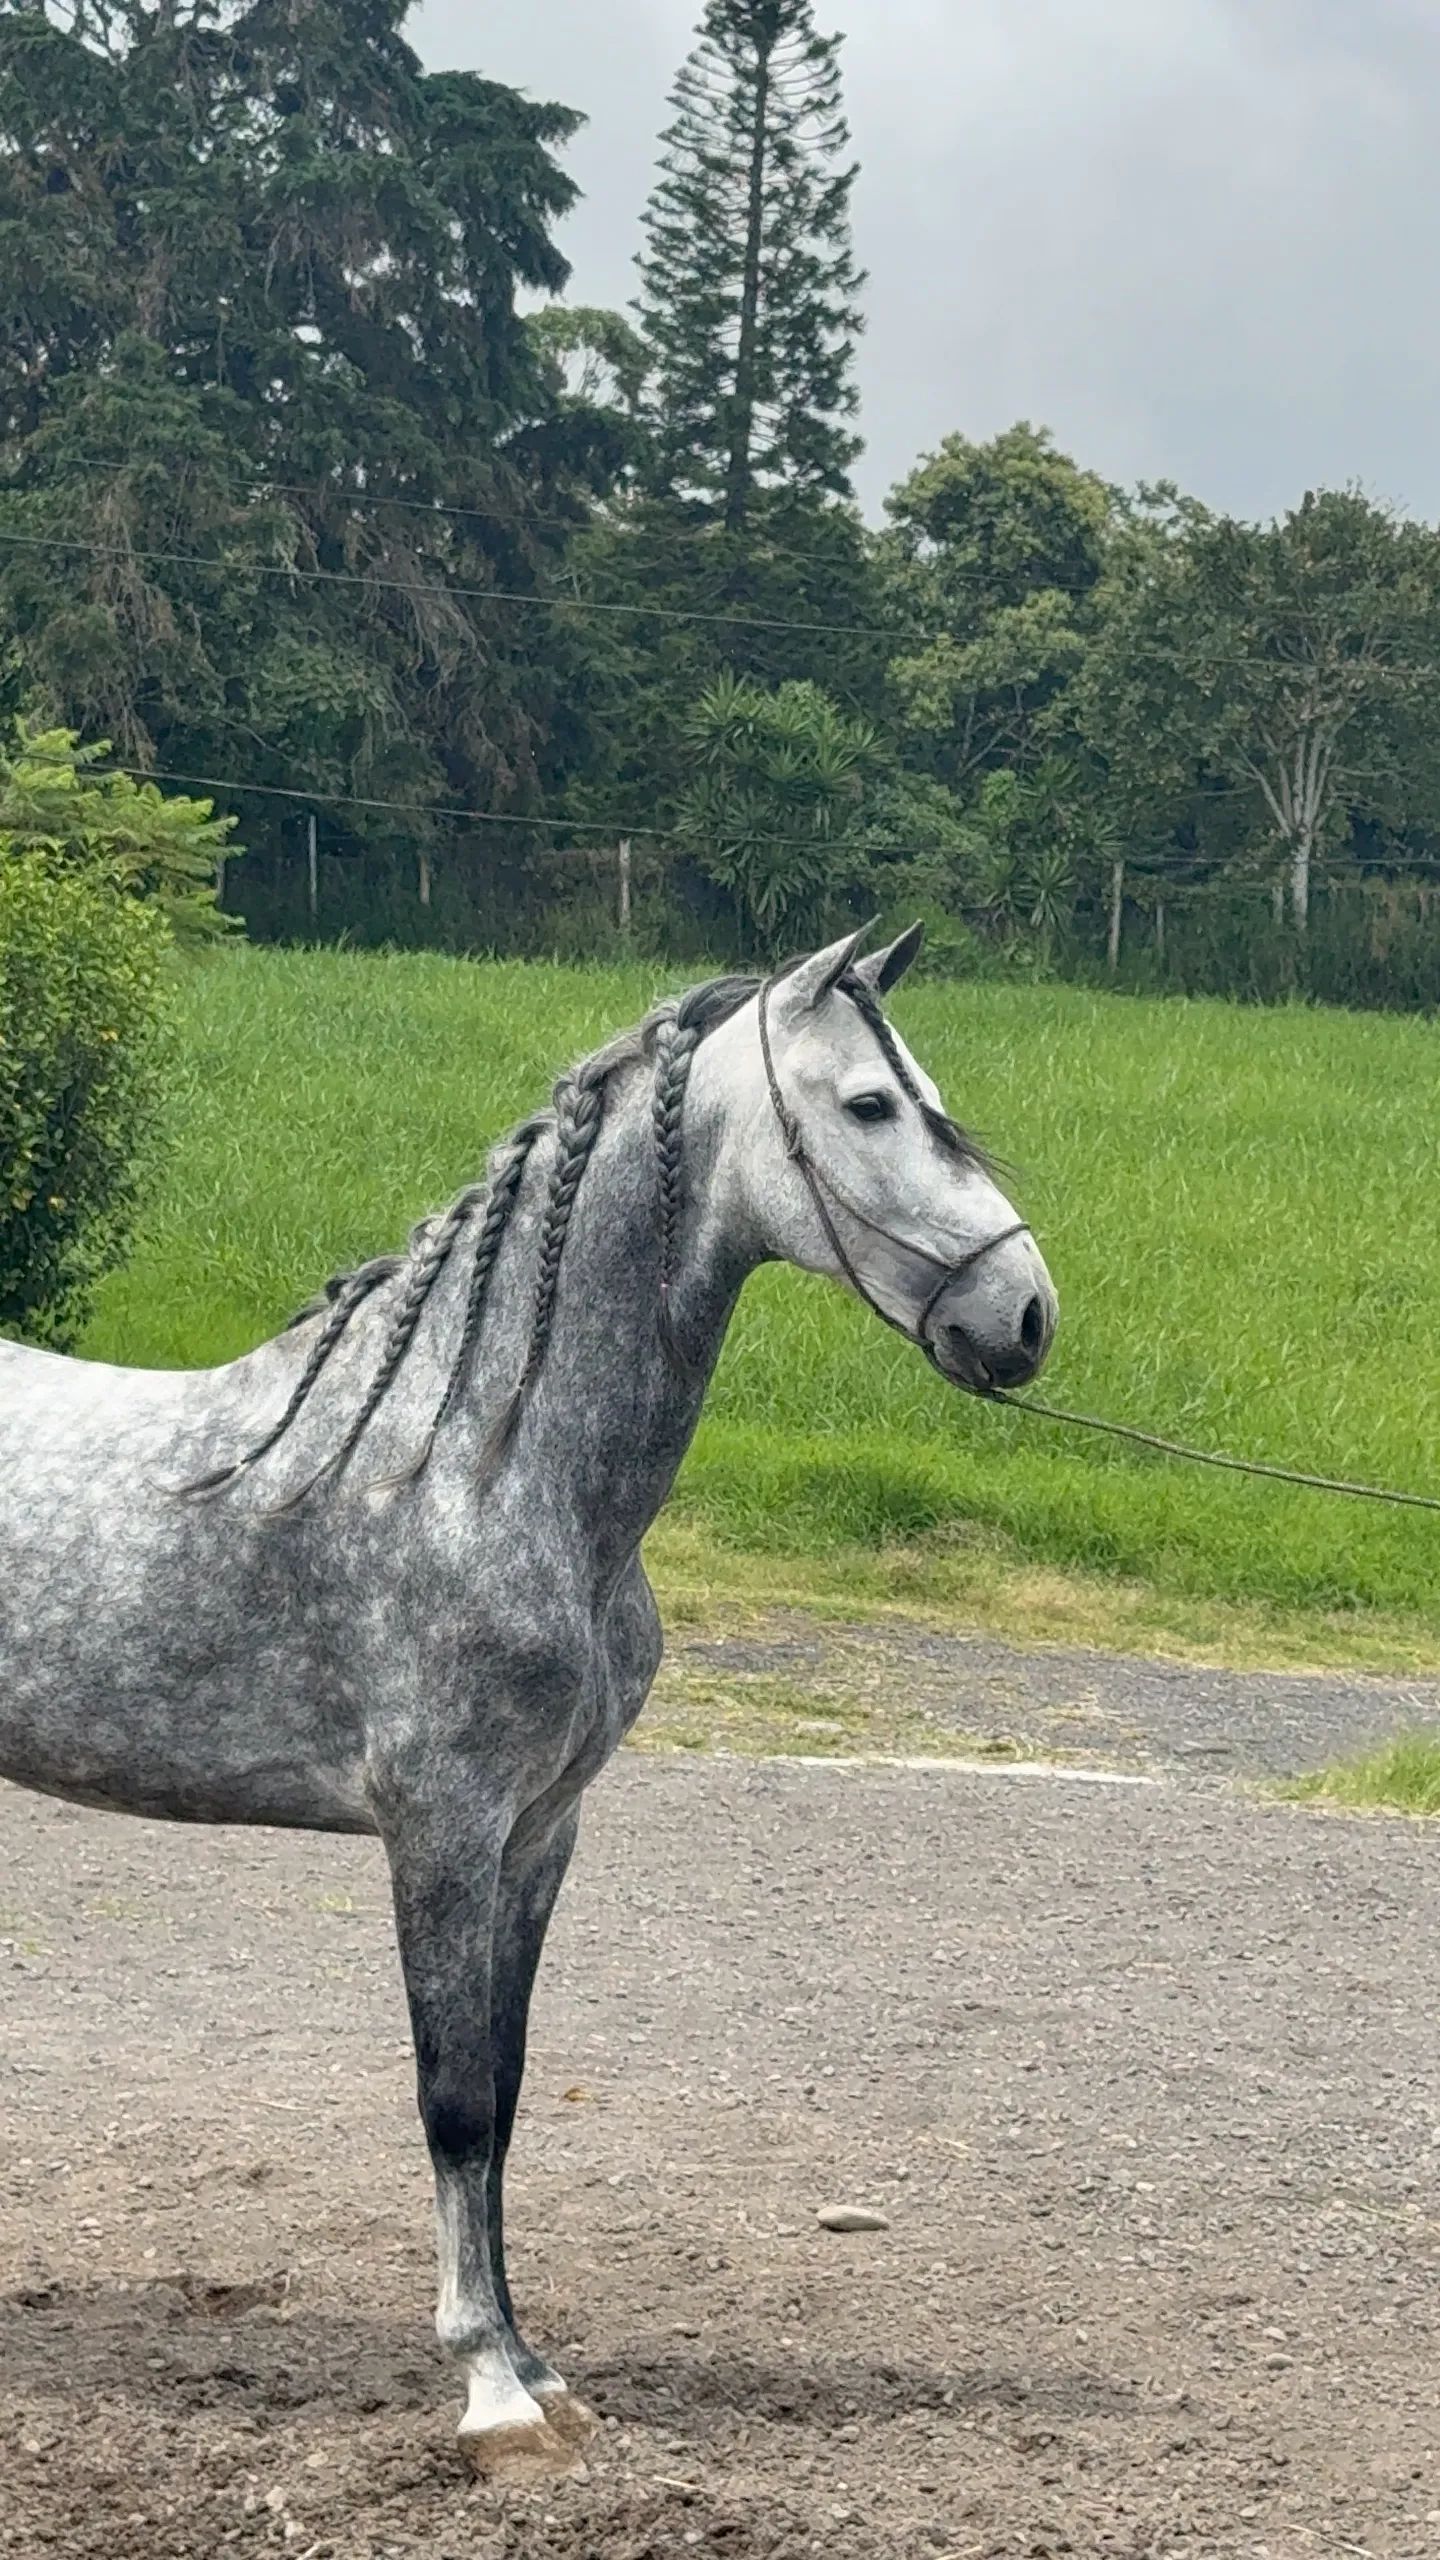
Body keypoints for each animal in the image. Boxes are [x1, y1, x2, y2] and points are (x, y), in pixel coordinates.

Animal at [0, 921, 1056, 2475]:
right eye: (870, 1105)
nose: (1023, 1314)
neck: (479, 1458)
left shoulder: (539, 1834)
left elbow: (500, 2094)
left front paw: (534, 2362)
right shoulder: (440, 1828)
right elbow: (449, 2101)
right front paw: (491, 2389)